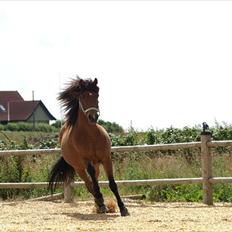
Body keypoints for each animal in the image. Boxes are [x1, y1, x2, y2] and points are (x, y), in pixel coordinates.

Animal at [48, 77, 130, 217]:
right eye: (83, 96)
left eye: (97, 95)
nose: (93, 116)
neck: (91, 135)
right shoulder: (86, 161)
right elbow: (94, 185)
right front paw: (102, 203)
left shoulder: (106, 159)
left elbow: (112, 184)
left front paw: (123, 208)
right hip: (79, 168)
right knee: (89, 185)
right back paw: (100, 204)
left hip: (96, 165)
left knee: (93, 182)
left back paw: (100, 205)